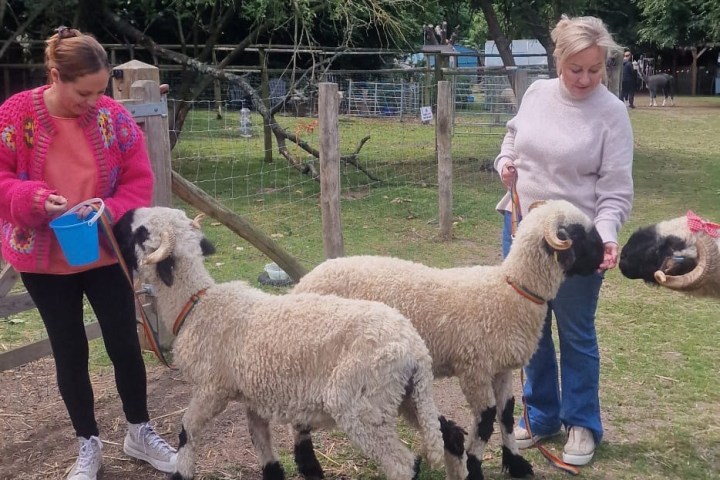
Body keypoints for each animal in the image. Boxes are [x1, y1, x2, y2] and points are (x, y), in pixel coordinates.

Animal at [112, 206, 468, 480]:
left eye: (142, 233)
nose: (119, 219)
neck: (197, 305)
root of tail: (415, 350)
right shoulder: (252, 397)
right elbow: (263, 447)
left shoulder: (213, 388)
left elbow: (187, 431)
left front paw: (181, 471)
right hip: (401, 397)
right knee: (446, 434)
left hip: (361, 403)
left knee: (402, 465)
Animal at [293, 199, 605, 480]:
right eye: (578, 234)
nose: (605, 257)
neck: (511, 291)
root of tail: (305, 281)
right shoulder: (474, 368)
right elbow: (486, 419)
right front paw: (474, 467)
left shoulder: (500, 369)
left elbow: (505, 414)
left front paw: (516, 463)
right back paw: (310, 465)